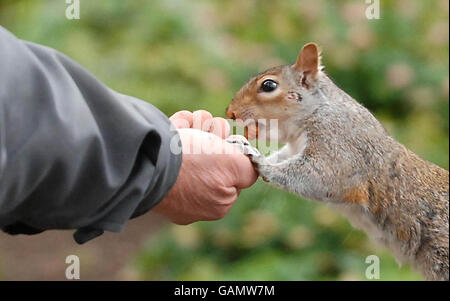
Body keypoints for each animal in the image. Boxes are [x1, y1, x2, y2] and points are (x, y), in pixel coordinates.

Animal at [227, 41, 448, 278]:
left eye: (268, 85)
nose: (230, 112)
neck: (317, 111)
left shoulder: (339, 147)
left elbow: (319, 176)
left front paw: (259, 160)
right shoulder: (295, 148)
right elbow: (283, 157)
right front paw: (242, 143)